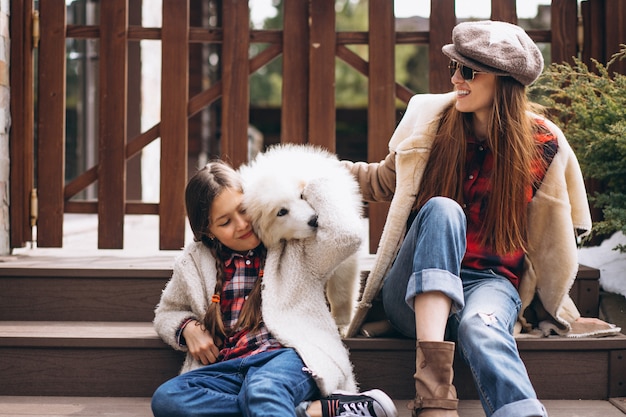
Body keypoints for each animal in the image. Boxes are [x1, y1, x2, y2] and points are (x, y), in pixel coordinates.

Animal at [240, 143, 366, 334]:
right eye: (281, 212)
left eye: (301, 195)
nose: (314, 220)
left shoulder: (346, 261)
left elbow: (341, 289)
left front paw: (341, 324)